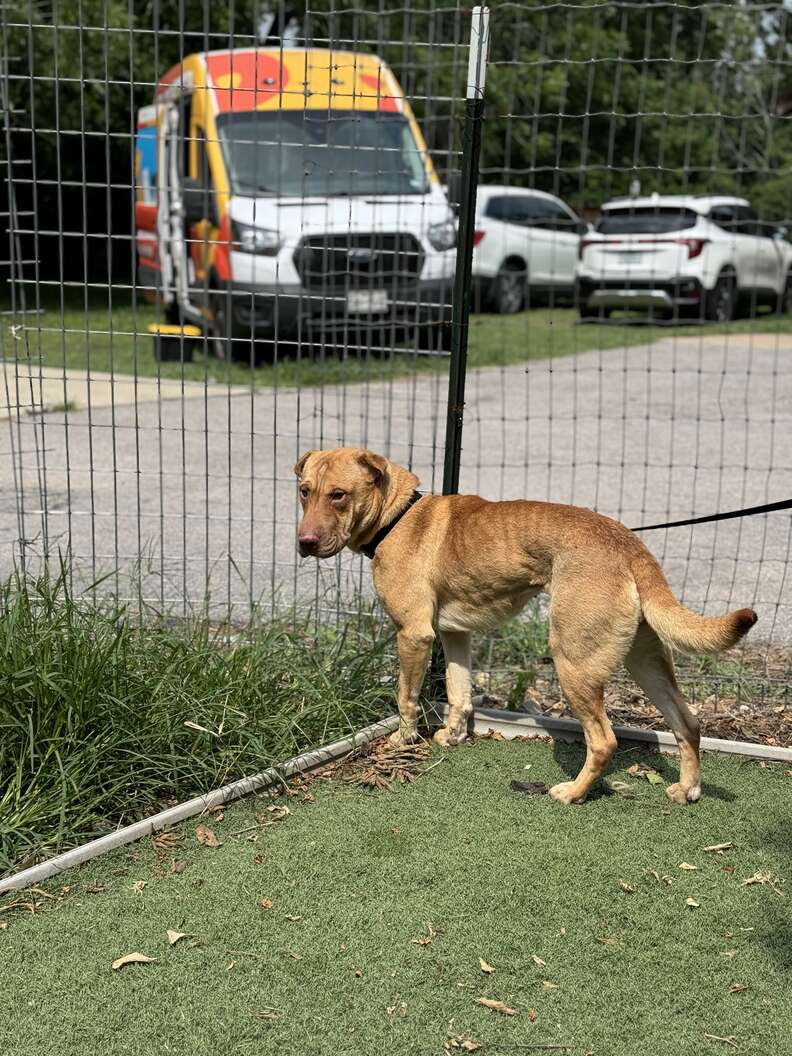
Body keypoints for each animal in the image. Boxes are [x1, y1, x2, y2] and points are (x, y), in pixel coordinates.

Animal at [295, 449, 760, 802]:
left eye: (338, 495)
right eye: (304, 491)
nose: (304, 544)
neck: (399, 516)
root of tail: (629, 545)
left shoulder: (414, 635)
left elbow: (406, 698)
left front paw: (401, 743)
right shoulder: (454, 634)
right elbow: (459, 694)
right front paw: (452, 735)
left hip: (573, 663)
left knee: (604, 741)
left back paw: (573, 793)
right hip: (644, 662)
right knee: (688, 723)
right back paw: (687, 789)